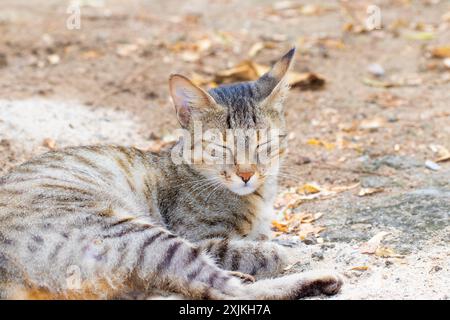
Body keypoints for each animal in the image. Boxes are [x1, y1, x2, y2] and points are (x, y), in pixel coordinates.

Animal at [0, 48, 342, 298]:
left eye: (263, 142)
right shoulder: (200, 237)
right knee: (223, 289)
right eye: (221, 146)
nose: (247, 174)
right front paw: (285, 248)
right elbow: (258, 249)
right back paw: (317, 278)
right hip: (140, 235)